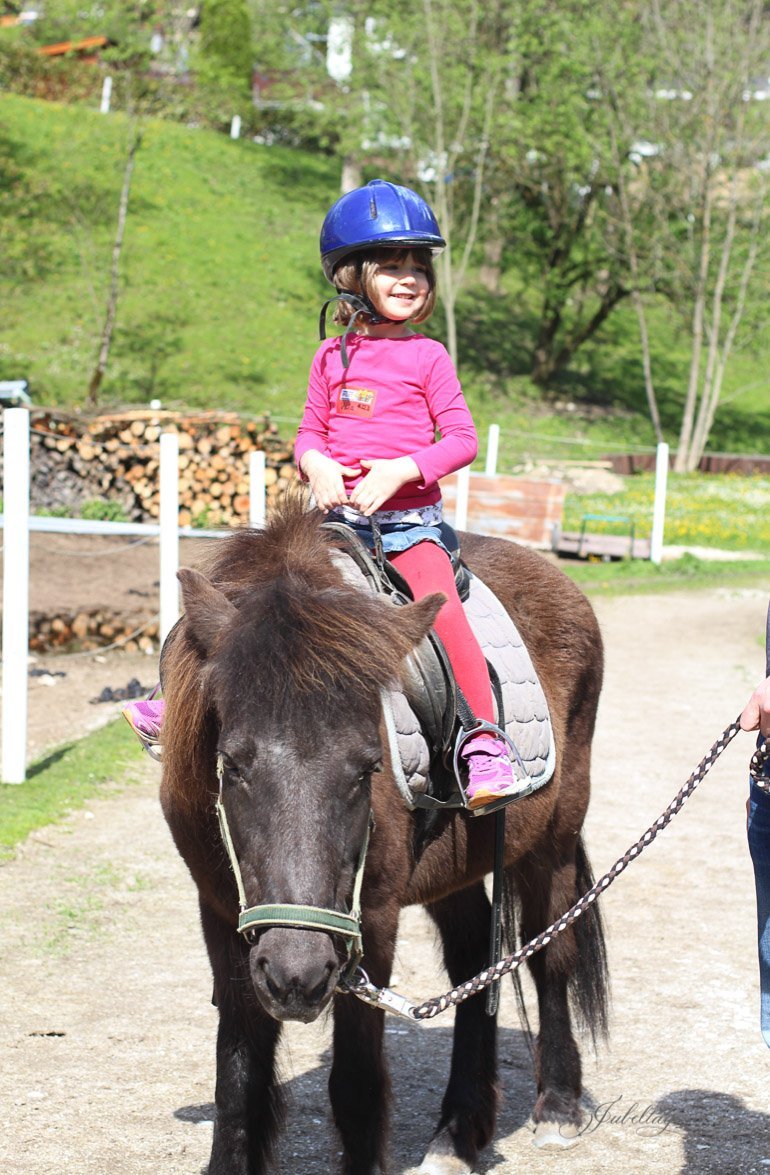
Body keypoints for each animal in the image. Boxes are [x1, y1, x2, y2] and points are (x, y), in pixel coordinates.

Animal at [161, 495, 606, 1175]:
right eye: (232, 765)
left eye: (369, 767)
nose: (296, 975)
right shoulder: (220, 913)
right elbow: (236, 1077)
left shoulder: (371, 920)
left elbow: (355, 1083)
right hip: (454, 870)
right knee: (473, 963)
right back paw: (458, 1132)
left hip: (551, 845)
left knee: (550, 956)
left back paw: (556, 1104)